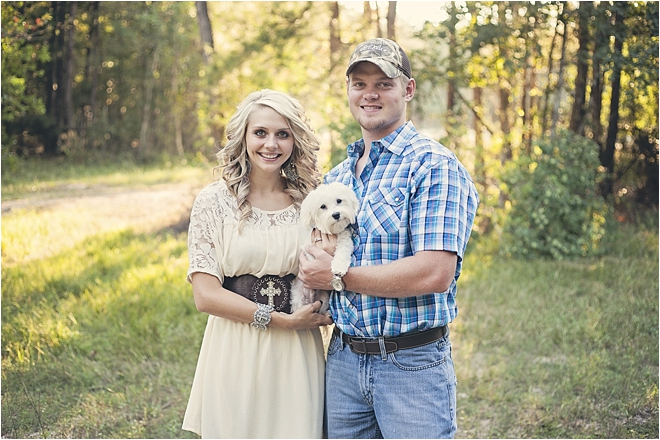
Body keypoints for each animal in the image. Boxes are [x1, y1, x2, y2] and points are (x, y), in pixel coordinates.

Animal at [292, 182, 358, 312]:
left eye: (339, 200)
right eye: (322, 206)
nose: (336, 214)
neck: (333, 232)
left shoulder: (345, 239)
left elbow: (343, 251)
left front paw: (339, 267)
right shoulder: (309, 246)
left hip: (324, 300)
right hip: (298, 298)